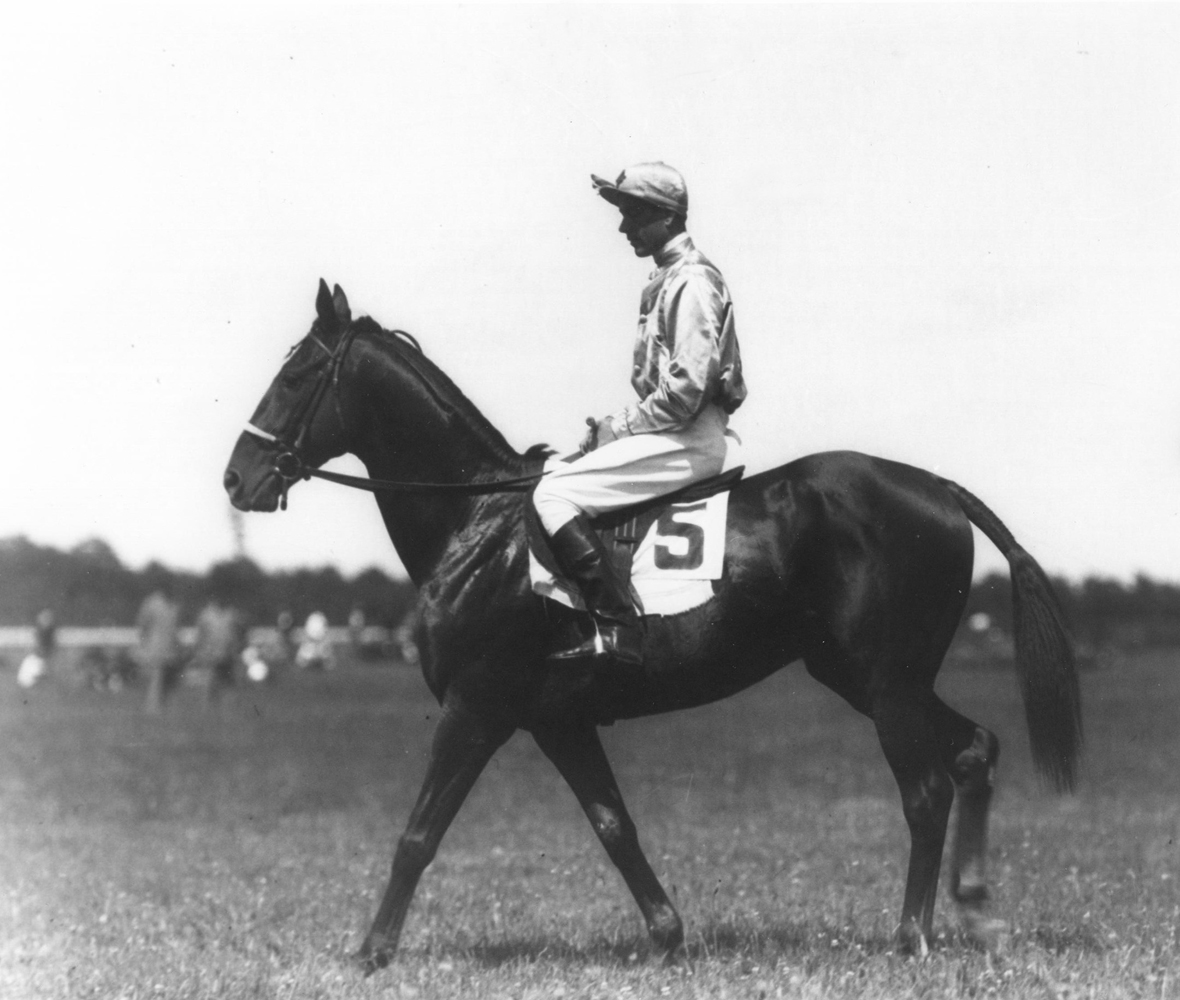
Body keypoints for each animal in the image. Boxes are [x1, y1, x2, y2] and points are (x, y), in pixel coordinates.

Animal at [221, 280, 1080, 977]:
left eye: (295, 375)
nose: (237, 478)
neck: (481, 523)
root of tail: (935, 486)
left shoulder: (477, 709)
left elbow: (417, 835)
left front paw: (372, 951)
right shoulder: (558, 720)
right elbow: (614, 827)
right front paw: (667, 938)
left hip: (886, 684)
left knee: (927, 790)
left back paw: (913, 935)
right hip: (871, 678)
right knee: (974, 750)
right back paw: (975, 910)